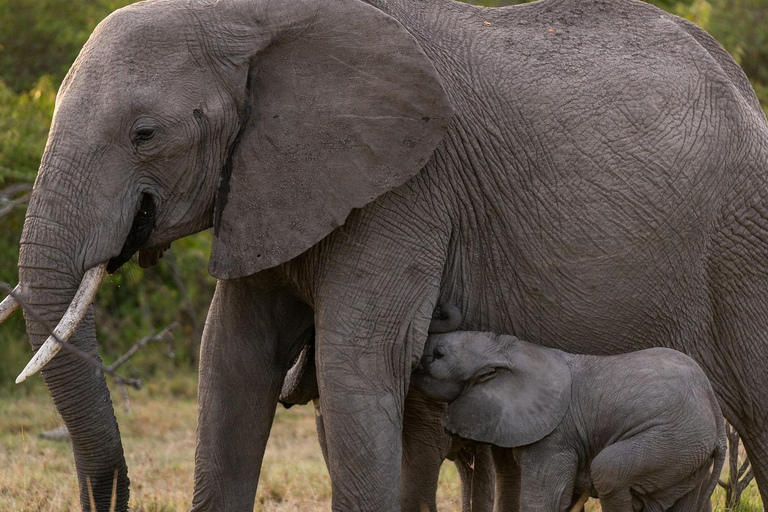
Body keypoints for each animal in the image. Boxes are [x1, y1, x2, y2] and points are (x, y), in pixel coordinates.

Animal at [414, 330, 728, 510]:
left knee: (608, 470)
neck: (511, 349)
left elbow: (545, 499)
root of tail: (716, 415)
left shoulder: (554, 439)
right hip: (690, 455)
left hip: (673, 437)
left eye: (439, 355)